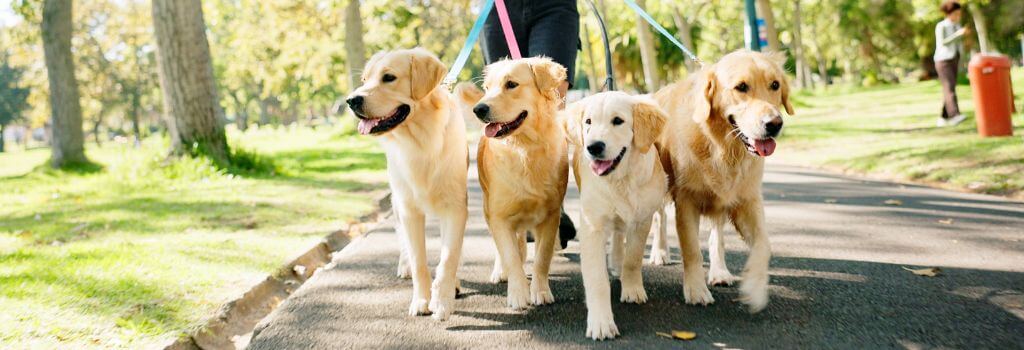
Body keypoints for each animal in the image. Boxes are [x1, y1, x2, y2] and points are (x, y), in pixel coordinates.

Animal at [346, 48, 468, 319]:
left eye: (389, 77)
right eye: (364, 80)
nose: (351, 101)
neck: (421, 142)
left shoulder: (455, 207)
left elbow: (449, 257)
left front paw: (442, 301)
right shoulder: (409, 210)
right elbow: (418, 259)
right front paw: (422, 300)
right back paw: (404, 266)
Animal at [462, 56, 569, 309]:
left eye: (511, 84)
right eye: (487, 87)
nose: (478, 109)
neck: (525, 148)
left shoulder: (550, 216)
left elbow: (542, 258)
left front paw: (540, 291)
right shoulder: (499, 215)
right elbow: (509, 256)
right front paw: (518, 293)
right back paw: (500, 272)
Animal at [561, 91, 671, 339]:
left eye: (618, 121)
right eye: (588, 122)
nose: (594, 147)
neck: (621, 180)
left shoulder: (642, 220)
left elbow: (633, 258)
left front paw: (632, 289)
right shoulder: (592, 225)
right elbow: (597, 278)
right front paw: (601, 323)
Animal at [655, 49, 790, 311]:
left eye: (775, 85)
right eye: (741, 87)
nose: (774, 124)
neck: (723, 147)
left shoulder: (747, 199)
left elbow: (764, 245)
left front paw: (755, 287)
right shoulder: (686, 200)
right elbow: (691, 250)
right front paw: (696, 290)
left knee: (716, 235)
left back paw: (719, 272)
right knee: (658, 219)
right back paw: (659, 253)